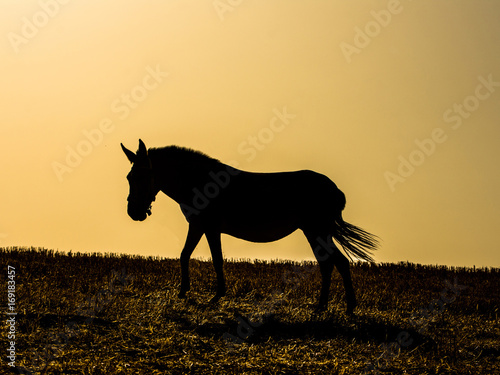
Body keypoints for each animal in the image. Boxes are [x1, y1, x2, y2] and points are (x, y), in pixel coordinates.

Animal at [122, 139, 378, 314]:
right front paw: (189, 291)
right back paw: (324, 305)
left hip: (316, 230)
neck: (199, 182)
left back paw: (345, 307)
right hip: (314, 231)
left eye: (140, 177)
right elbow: (190, 255)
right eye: (128, 177)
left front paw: (210, 294)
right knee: (329, 263)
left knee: (336, 262)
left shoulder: (204, 225)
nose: (134, 213)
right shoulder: (204, 227)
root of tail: (334, 189)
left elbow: (209, 258)